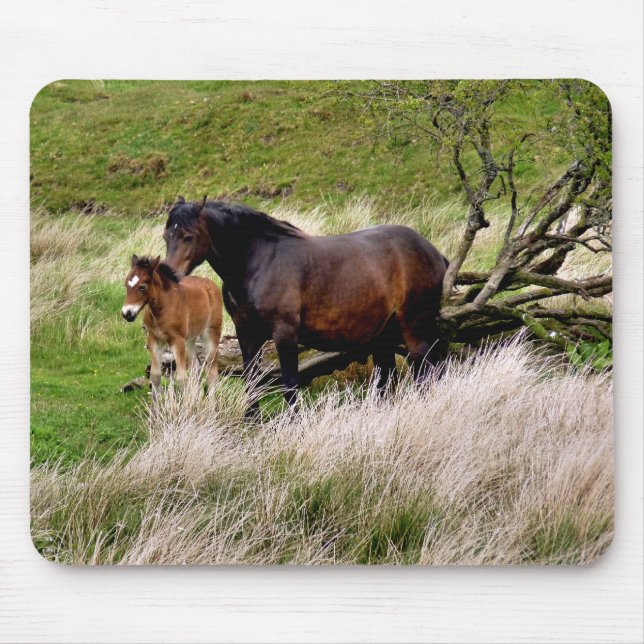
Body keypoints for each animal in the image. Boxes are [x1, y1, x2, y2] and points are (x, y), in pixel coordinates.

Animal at [121, 254, 223, 401]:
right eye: (126, 285)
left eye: (142, 287)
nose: (126, 313)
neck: (162, 309)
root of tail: (211, 284)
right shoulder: (154, 340)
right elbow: (155, 376)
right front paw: (156, 406)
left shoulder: (177, 340)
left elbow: (181, 378)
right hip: (189, 339)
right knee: (196, 368)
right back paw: (197, 399)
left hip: (211, 334)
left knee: (211, 371)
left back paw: (210, 403)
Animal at [162, 196, 449, 415]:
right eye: (167, 236)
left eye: (188, 236)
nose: (169, 274)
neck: (259, 262)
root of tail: (433, 252)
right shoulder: (247, 334)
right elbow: (251, 380)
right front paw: (251, 421)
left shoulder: (284, 334)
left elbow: (290, 382)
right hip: (385, 336)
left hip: (414, 330)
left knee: (426, 370)